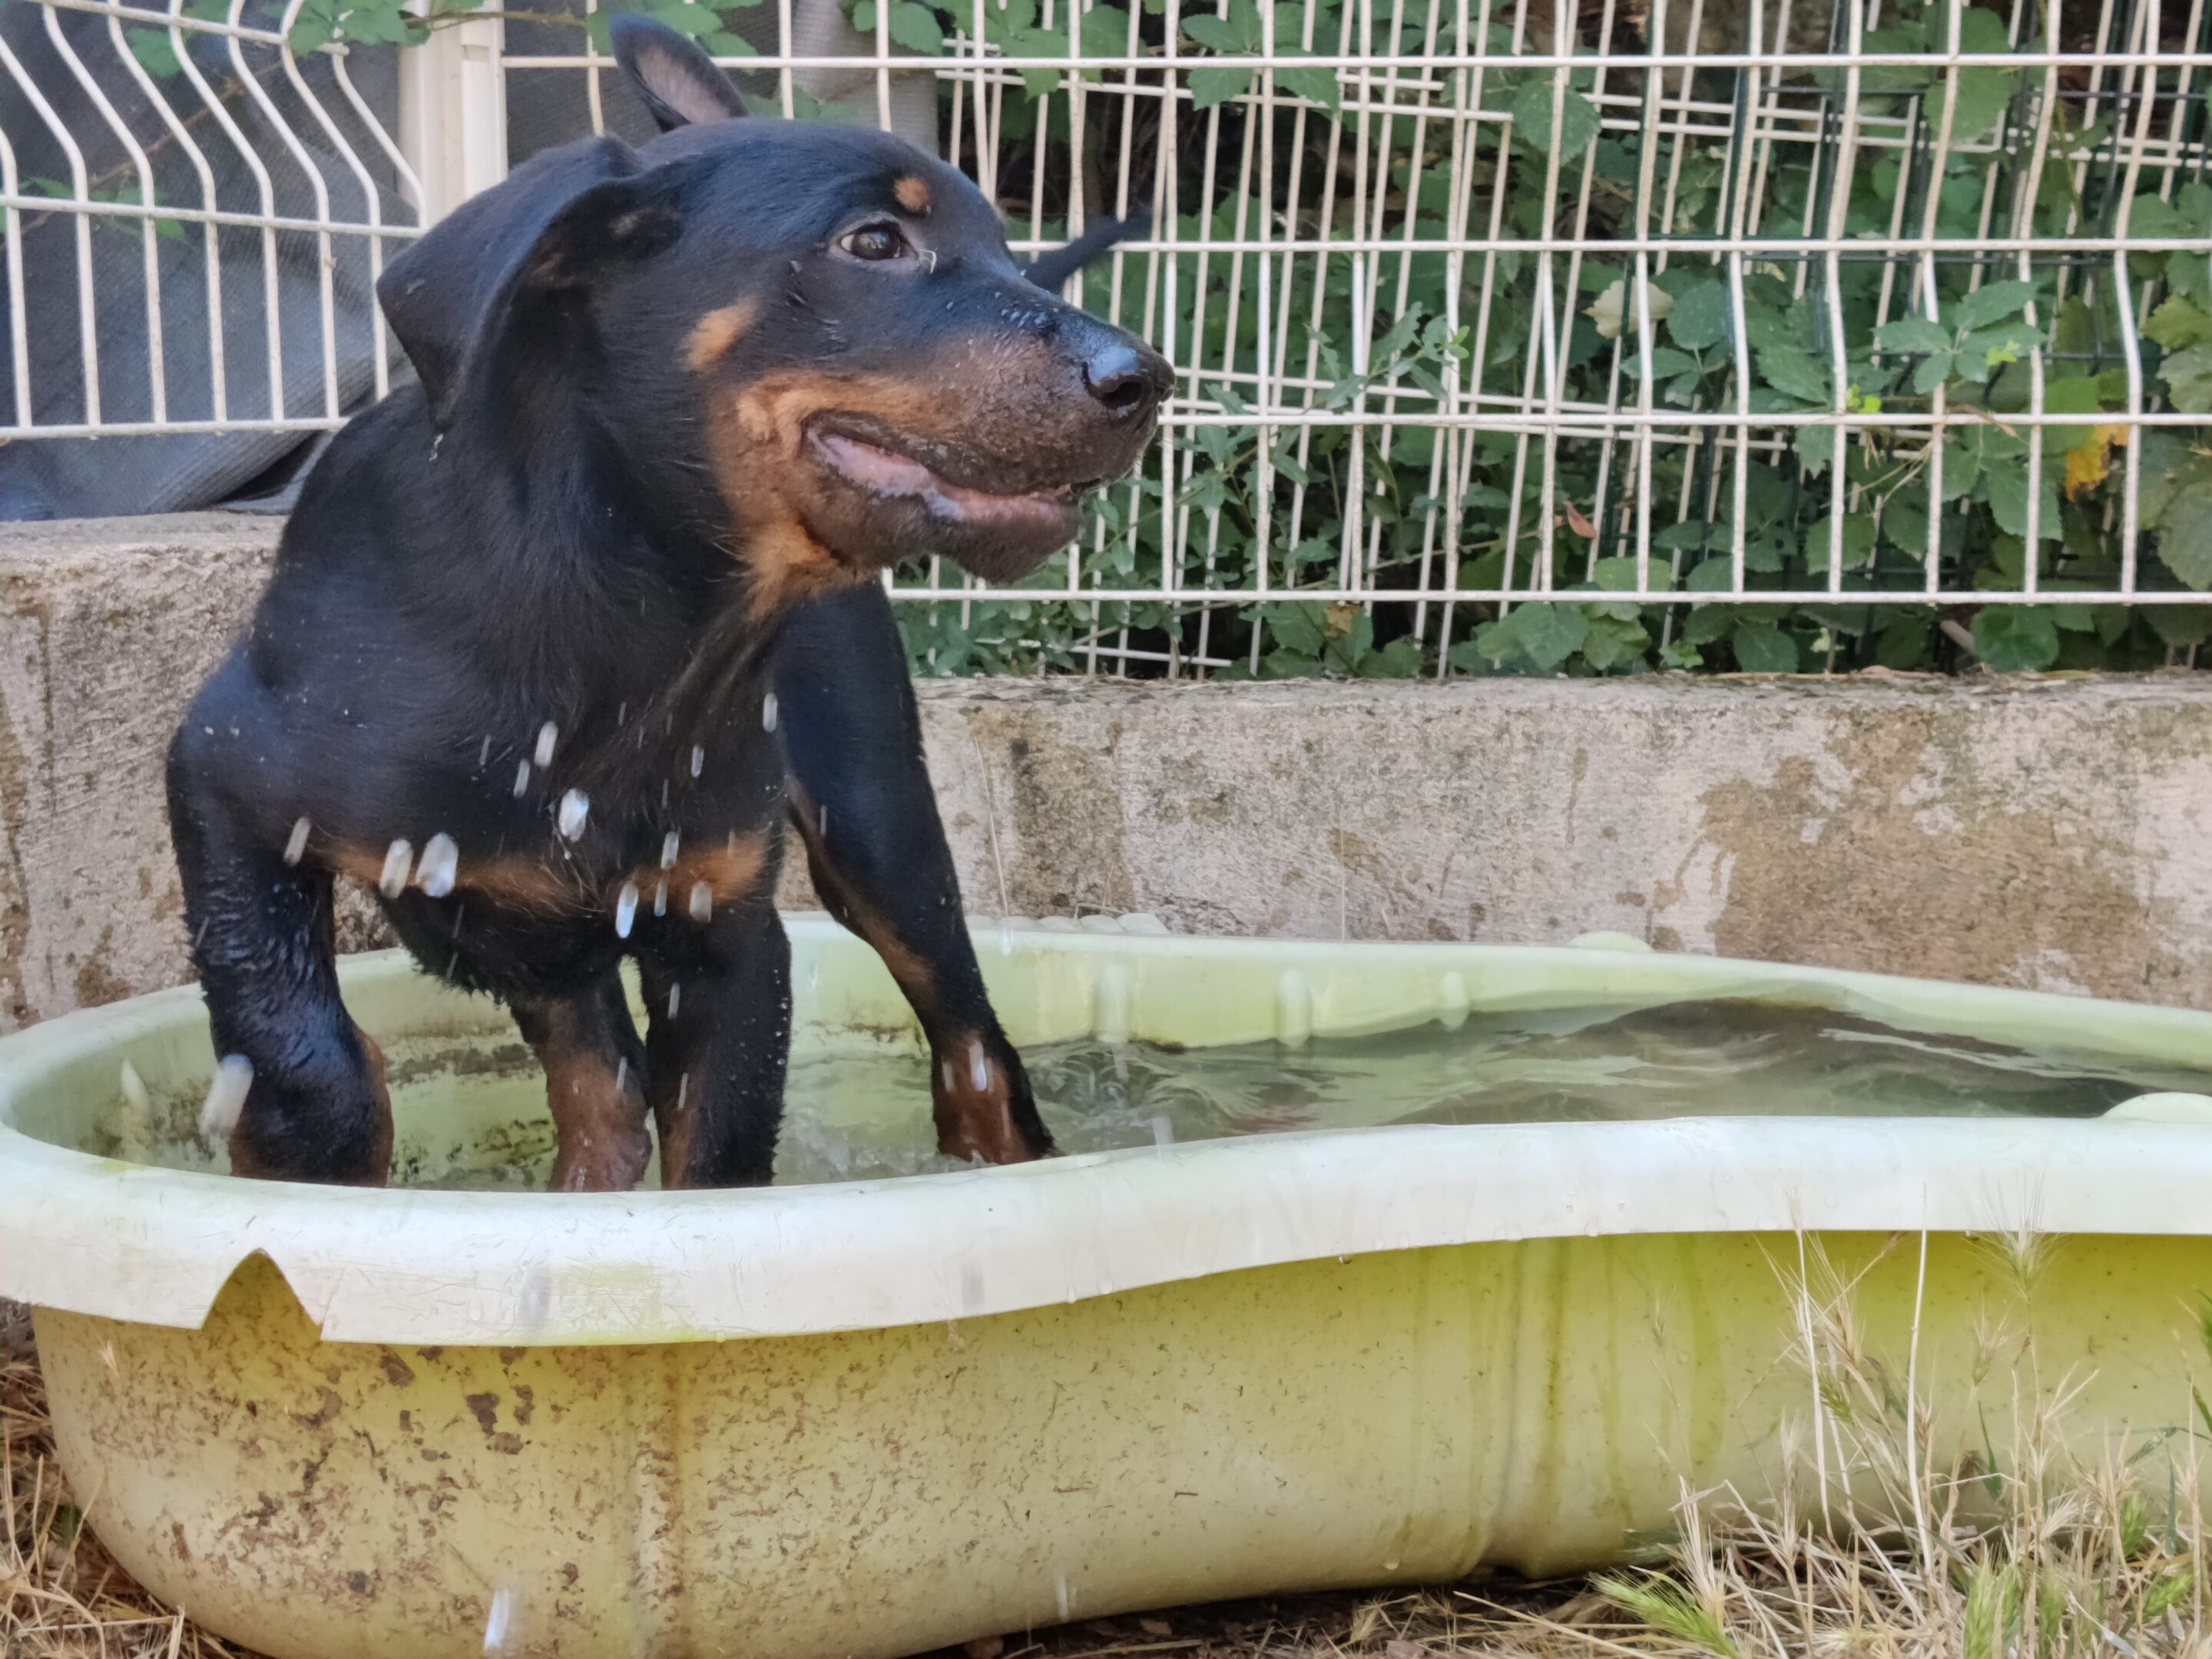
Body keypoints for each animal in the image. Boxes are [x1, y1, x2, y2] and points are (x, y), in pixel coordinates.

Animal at [166, 22, 1177, 1194]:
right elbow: (297, 1039)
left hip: (875, 818)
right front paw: (311, 1147)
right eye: (874, 242)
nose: (1144, 379)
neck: (629, 626)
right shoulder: (223, 774)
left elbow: (715, 1162)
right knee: (602, 1090)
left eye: (1009, 254)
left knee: (971, 1048)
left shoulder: (725, 928)